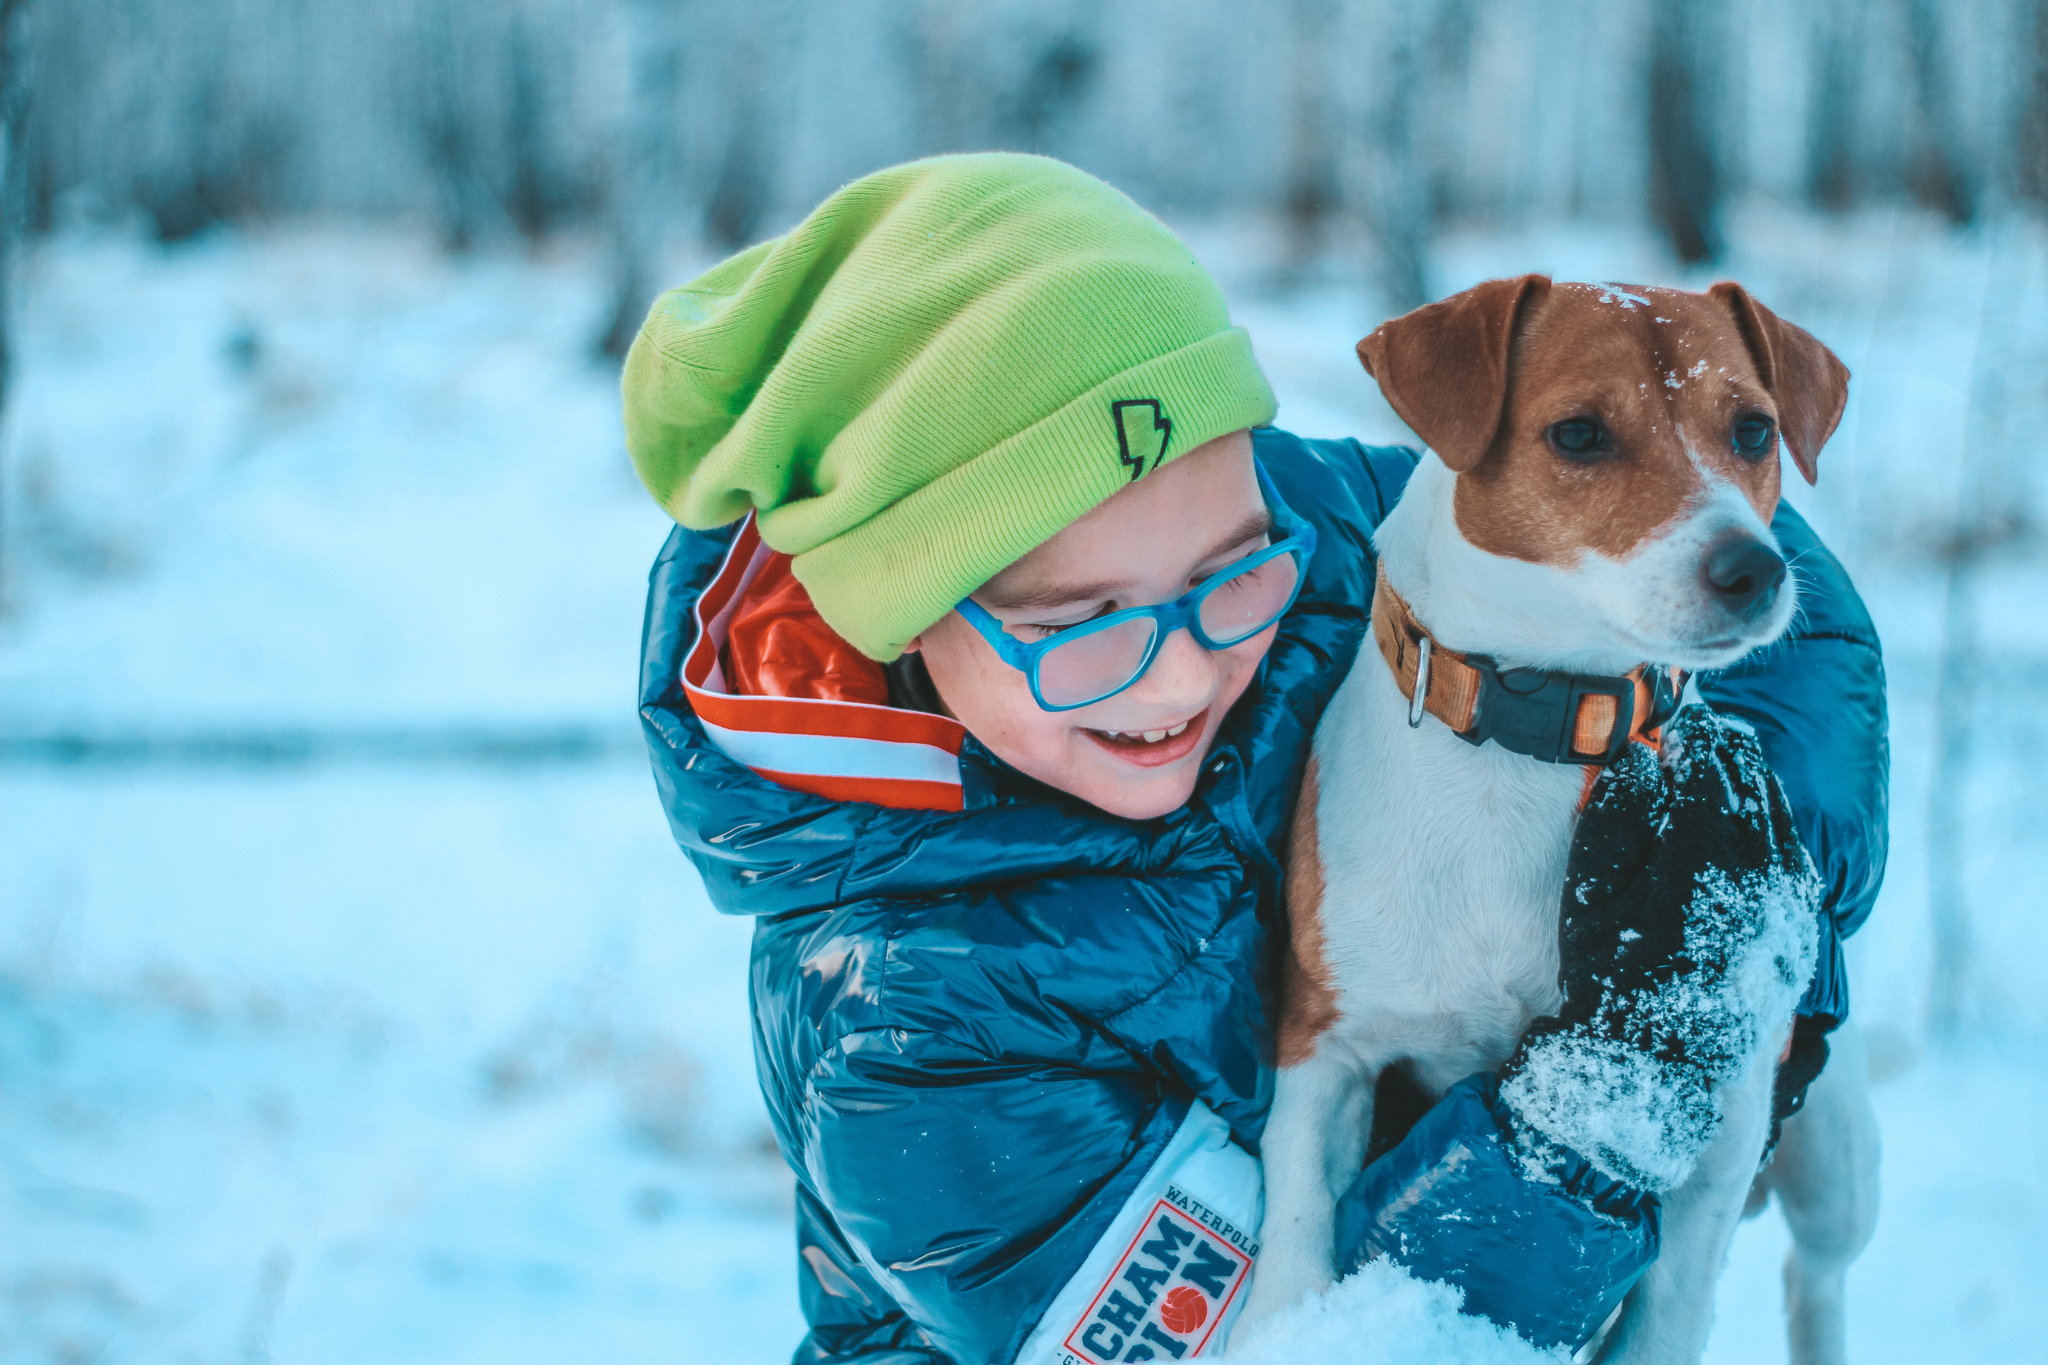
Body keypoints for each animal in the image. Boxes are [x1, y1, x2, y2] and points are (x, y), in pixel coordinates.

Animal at [1236, 278, 1875, 1365]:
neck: (1531, 731)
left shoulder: (1728, 1120)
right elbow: (1297, 1215)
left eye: (1752, 429)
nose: (1751, 569)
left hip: (1833, 1147)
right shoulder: (1326, 1036)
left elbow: (1669, 1308)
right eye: (1578, 433)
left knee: (1819, 1273)